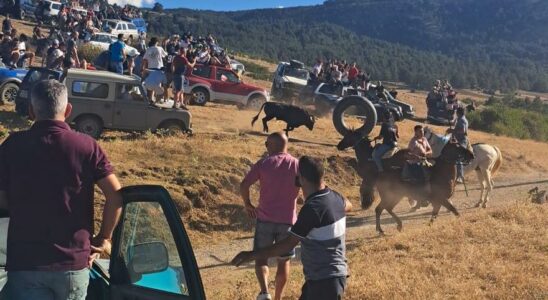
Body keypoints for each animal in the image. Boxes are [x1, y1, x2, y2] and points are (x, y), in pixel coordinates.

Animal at [336, 130, 474, 236]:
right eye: (457, 146)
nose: (471, 155)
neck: (440, 172)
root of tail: (381, 175)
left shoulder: (438, 201)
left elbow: (435, 215)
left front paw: (429, 226)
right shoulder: (441, 199)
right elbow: (454, 211)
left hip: (395, 197)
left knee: (383, 209)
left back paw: (394, 226)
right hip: (391, 196)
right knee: (381, 209)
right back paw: (385, 228)